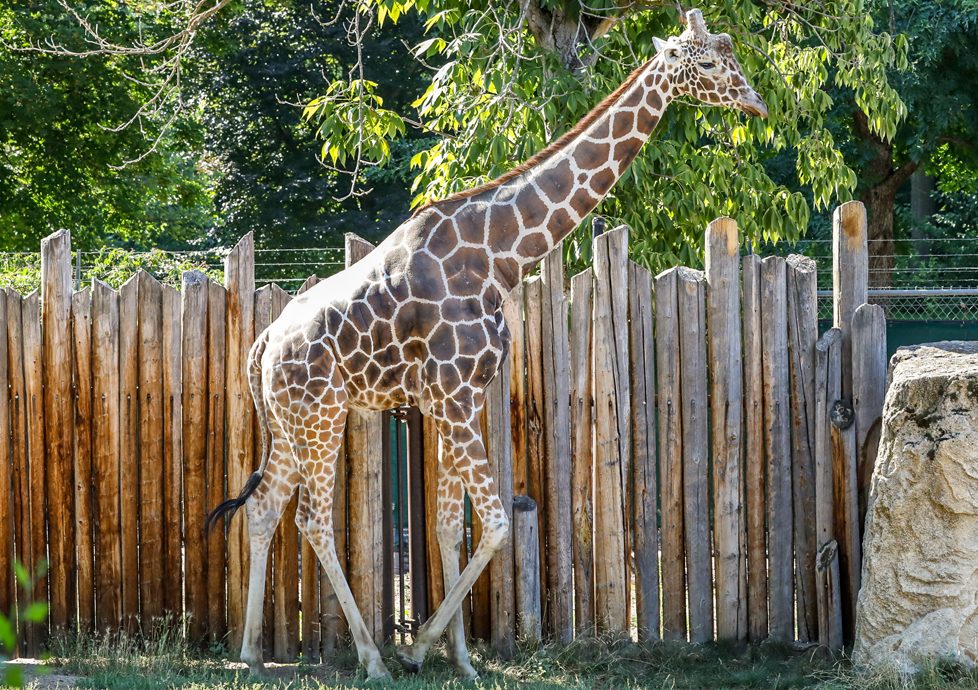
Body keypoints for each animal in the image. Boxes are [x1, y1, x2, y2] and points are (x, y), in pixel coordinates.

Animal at [206, 8, 767, 681]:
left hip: (291, 421)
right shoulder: (452, 396)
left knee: (263, 507)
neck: (501, 256)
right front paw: (418, 647)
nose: (757, 102)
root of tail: (263, 342)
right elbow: (496, 522)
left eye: (732, 54)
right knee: (313, 520)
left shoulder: (460, 398)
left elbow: (451, 525)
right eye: (707, 62)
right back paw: (371, 658)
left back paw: (249, 654)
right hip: (320, 415)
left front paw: (460, 660)